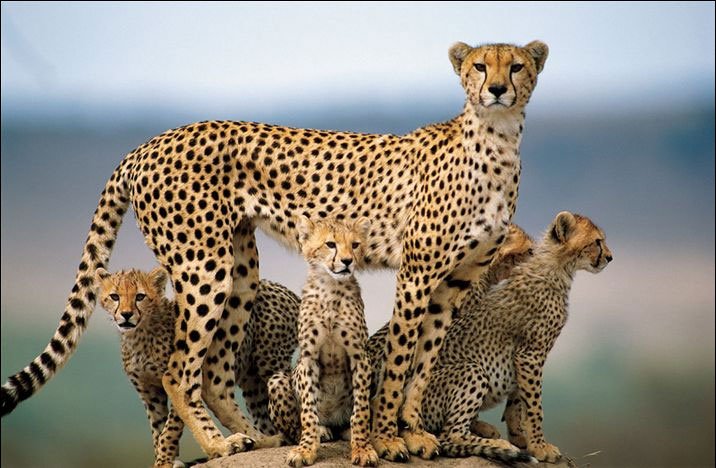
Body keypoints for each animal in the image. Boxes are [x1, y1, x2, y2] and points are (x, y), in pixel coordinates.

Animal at [96, 267, 300, 467]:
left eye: (140, 296)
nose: (126, 314)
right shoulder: (149, 393)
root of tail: (282, 288)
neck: (139, 333)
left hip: (270, 362)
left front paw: (165, 459)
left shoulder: (178, 379)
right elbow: (157, 428)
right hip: (252, 383)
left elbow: (170, 428)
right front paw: (164, 458)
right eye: (115, 296)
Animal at [268, 217, 378, 467]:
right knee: (294, 428)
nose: (347, 261)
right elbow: (308, 411)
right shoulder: (308, 359)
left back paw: (345, 431)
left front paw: (362, 448)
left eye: (355, 245)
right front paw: (306, 449)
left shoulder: (360, 356)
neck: (330, 287)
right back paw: (320, 431)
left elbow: (361, 410)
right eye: (330, 244)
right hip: (277, 380)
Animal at [418, 211, 612, 463]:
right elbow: (535, 405)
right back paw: (499, 445)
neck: (557, 267)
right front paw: (540, 446)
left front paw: (522, 437)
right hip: (471, 370)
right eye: (597, 242)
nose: (610, 257)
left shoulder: (523, 357)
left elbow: (519, 399)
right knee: (449, 434)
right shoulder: (530, 354)